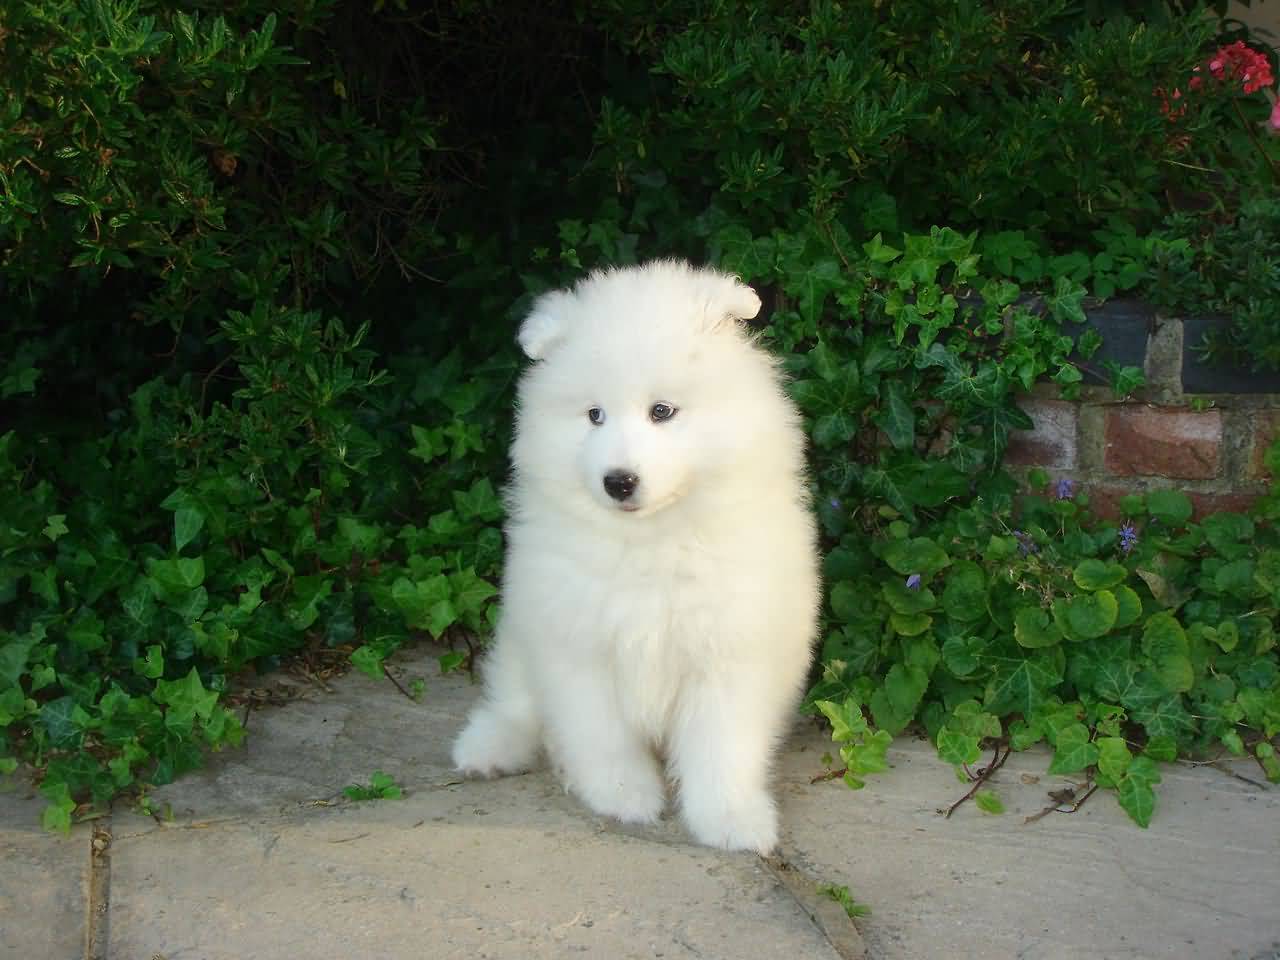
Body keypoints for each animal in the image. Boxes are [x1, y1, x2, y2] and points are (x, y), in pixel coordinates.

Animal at [453, 259, 819, 855]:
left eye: (662, 411)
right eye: (594, 415)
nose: (618, 481)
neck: (652, 539)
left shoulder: (727, 651)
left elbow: (722, 748)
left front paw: (731, 820)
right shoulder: (580, 647)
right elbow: (602, 736)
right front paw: (625, 797)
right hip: (521, 634)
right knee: (516, 703)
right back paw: (487, 748)